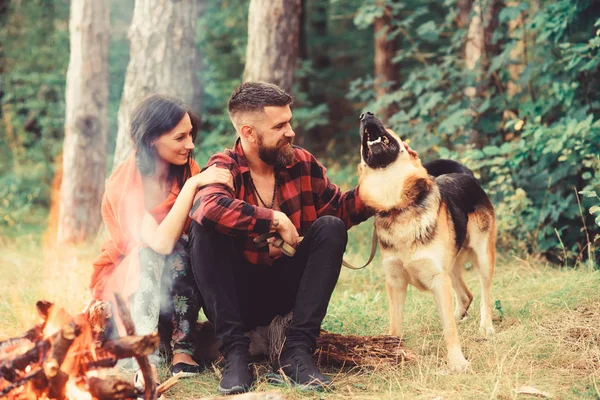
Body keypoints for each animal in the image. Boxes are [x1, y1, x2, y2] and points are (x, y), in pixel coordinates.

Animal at [358, 111, 494, 372]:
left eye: (387, 125)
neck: (397, 205)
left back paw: (487, 326)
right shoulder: (396, 283)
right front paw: (392, 355)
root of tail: (465, 174)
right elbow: (395, 326)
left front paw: (457, 362)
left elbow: (449, 330)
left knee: (484, 294)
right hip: (451, 268)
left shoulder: (438, 280)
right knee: (466, 296)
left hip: (482, 258)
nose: (365, 114)